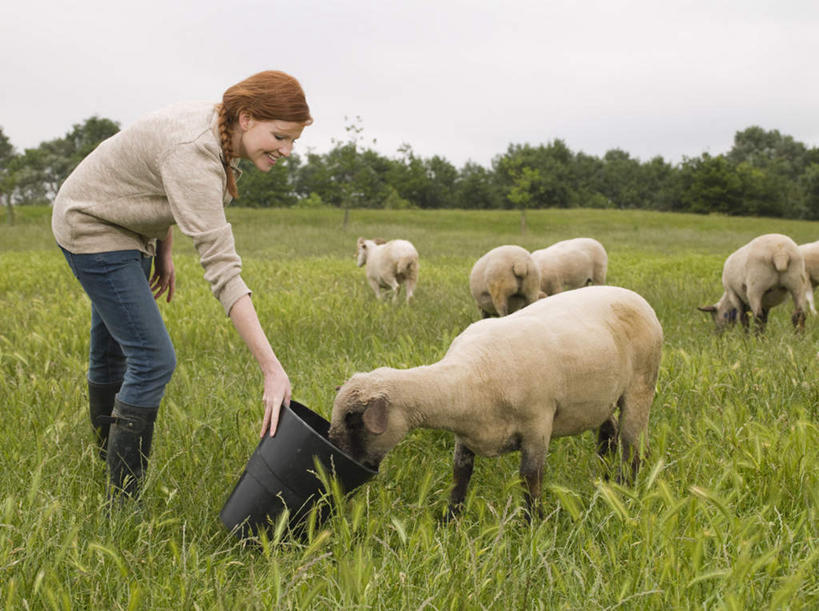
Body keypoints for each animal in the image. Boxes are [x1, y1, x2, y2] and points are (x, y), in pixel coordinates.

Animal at [330, 286, 664, 520]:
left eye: (353, 419)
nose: (337, 460)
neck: (471, 375)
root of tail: (634, 296)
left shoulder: (537, 425)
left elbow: (530, 477)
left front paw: (533, 524)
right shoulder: (465, 436)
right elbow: (460, 475)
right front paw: (450, 519)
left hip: (640, 387)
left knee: (632, 447)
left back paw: (624, 491)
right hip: (599, 400)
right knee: (607, 434)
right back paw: (603, 481)